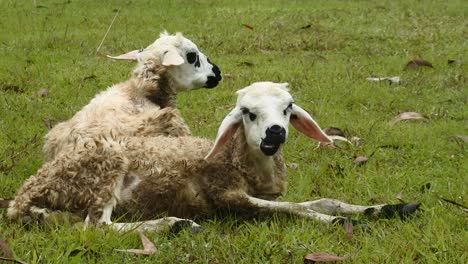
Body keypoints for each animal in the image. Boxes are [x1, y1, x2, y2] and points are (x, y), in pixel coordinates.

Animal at [3, 81, 420, 231]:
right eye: (248, 113)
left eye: (288, 108)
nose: (275, 133)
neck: (243, 163)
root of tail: (24, 194)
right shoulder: (227, 196)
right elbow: (295, 209)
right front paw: (336, 222)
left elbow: (324, 199)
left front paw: (385, 208)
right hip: (104, 169)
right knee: (98, 227)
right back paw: (173, 224)